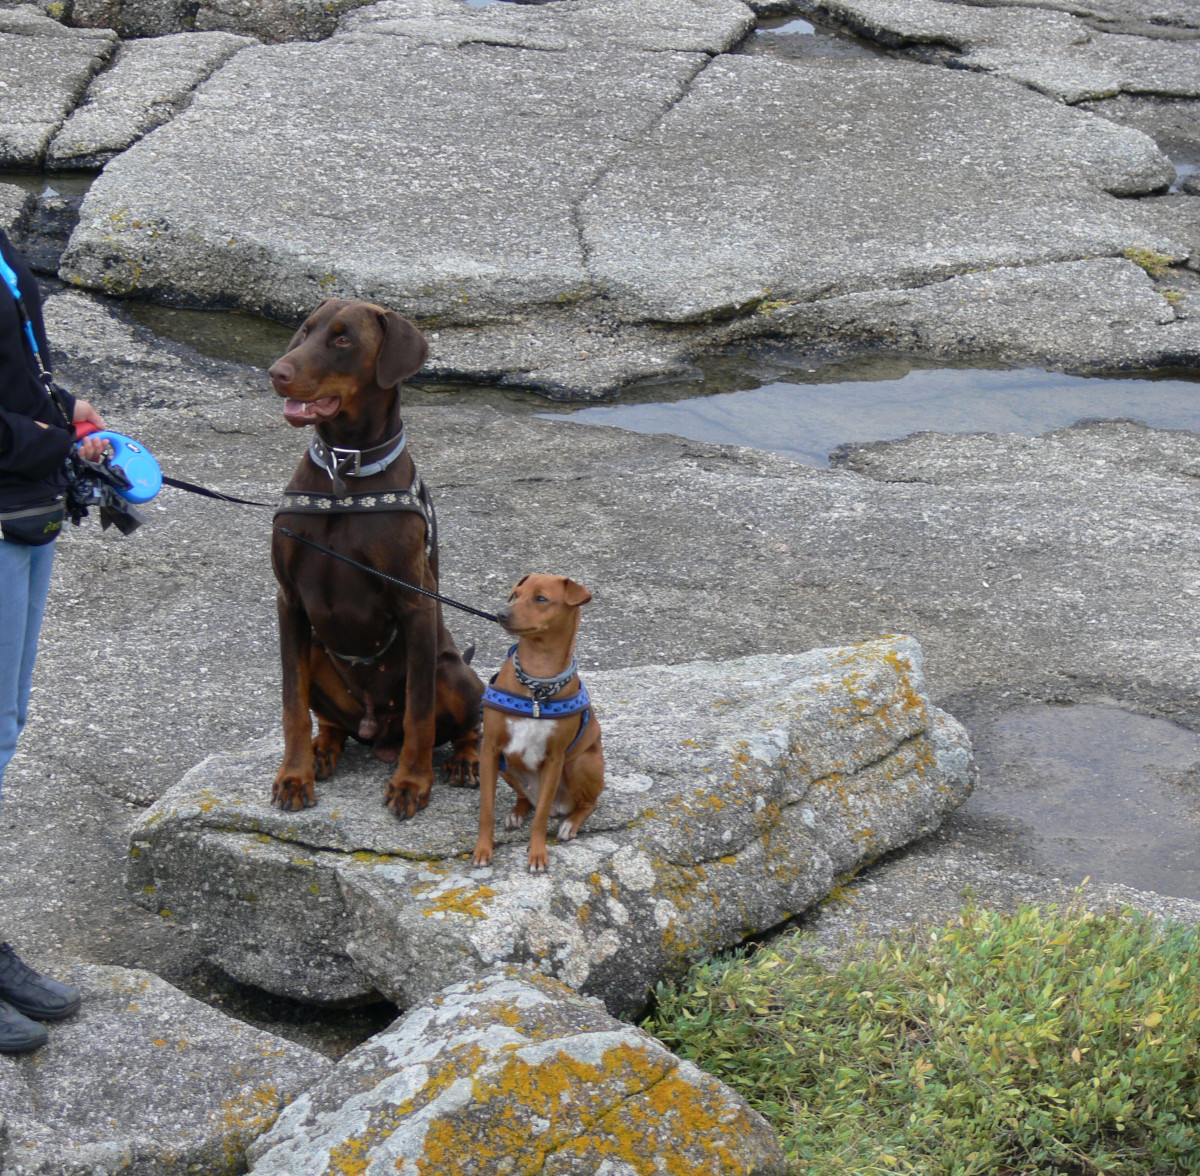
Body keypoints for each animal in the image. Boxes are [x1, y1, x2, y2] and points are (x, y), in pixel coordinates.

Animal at [270, 298, 480, 816]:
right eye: (305, 330)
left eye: (343, 339)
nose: (276, 373)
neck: (344, 473)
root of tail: (375, 732)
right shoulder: (289, 600)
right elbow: (291, 702)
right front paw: (294, 775)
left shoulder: (415, 601)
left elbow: (420, 713)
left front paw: (412, 783)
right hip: (317, 651)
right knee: (331, 723)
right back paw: (323, 750)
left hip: (454, 671)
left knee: (465, 724)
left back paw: (464, 760)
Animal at [472, 576, 604, 873]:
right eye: (516, 595)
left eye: (541, 598)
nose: (501, 614)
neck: (537, 684)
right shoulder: (490, 750)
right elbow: (486, 810)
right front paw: (483, 849)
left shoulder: (554, 759)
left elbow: (541, 817)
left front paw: (538, 854)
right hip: (506, 767)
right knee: (524, 798)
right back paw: (516, 813)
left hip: (578, 764)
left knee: (588, 803)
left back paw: (570, 824)